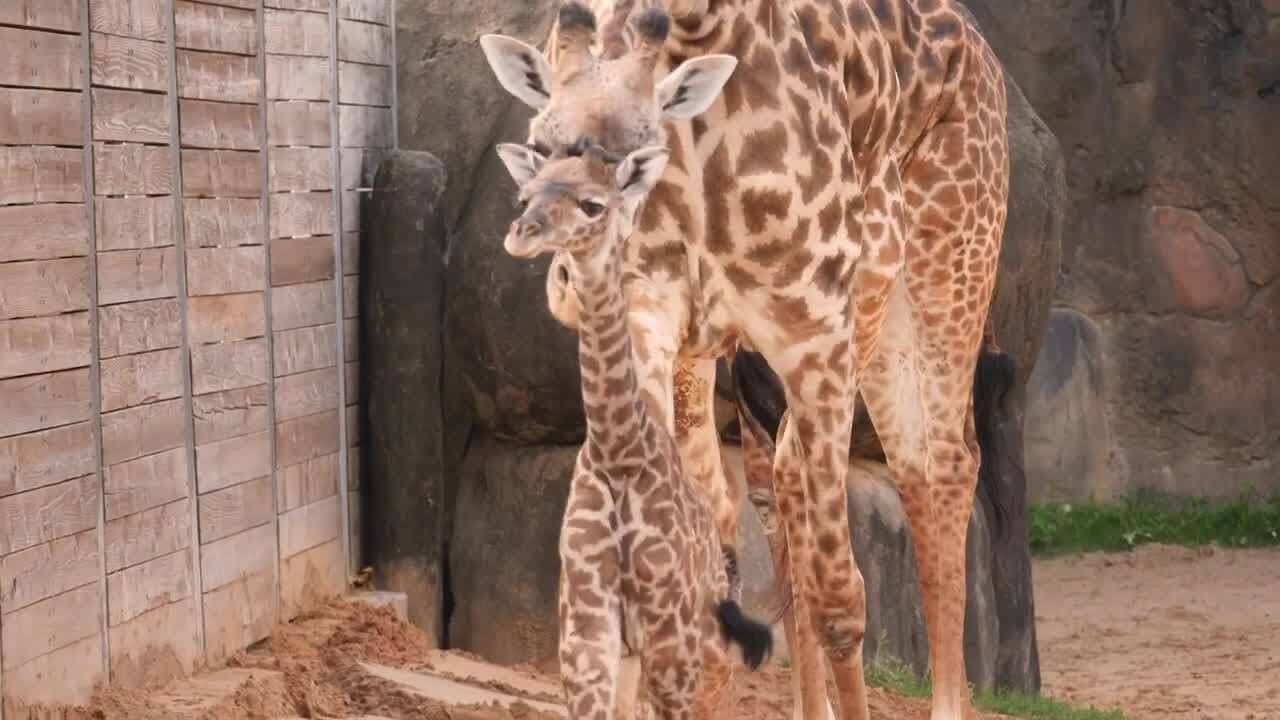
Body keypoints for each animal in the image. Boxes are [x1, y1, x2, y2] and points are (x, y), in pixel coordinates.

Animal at [493, 126, 775, 719]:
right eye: (525, 196)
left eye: (592, 204)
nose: (522, 234)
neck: (621, 451)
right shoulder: (587, 624)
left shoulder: (667, 638)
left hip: (693, 646)